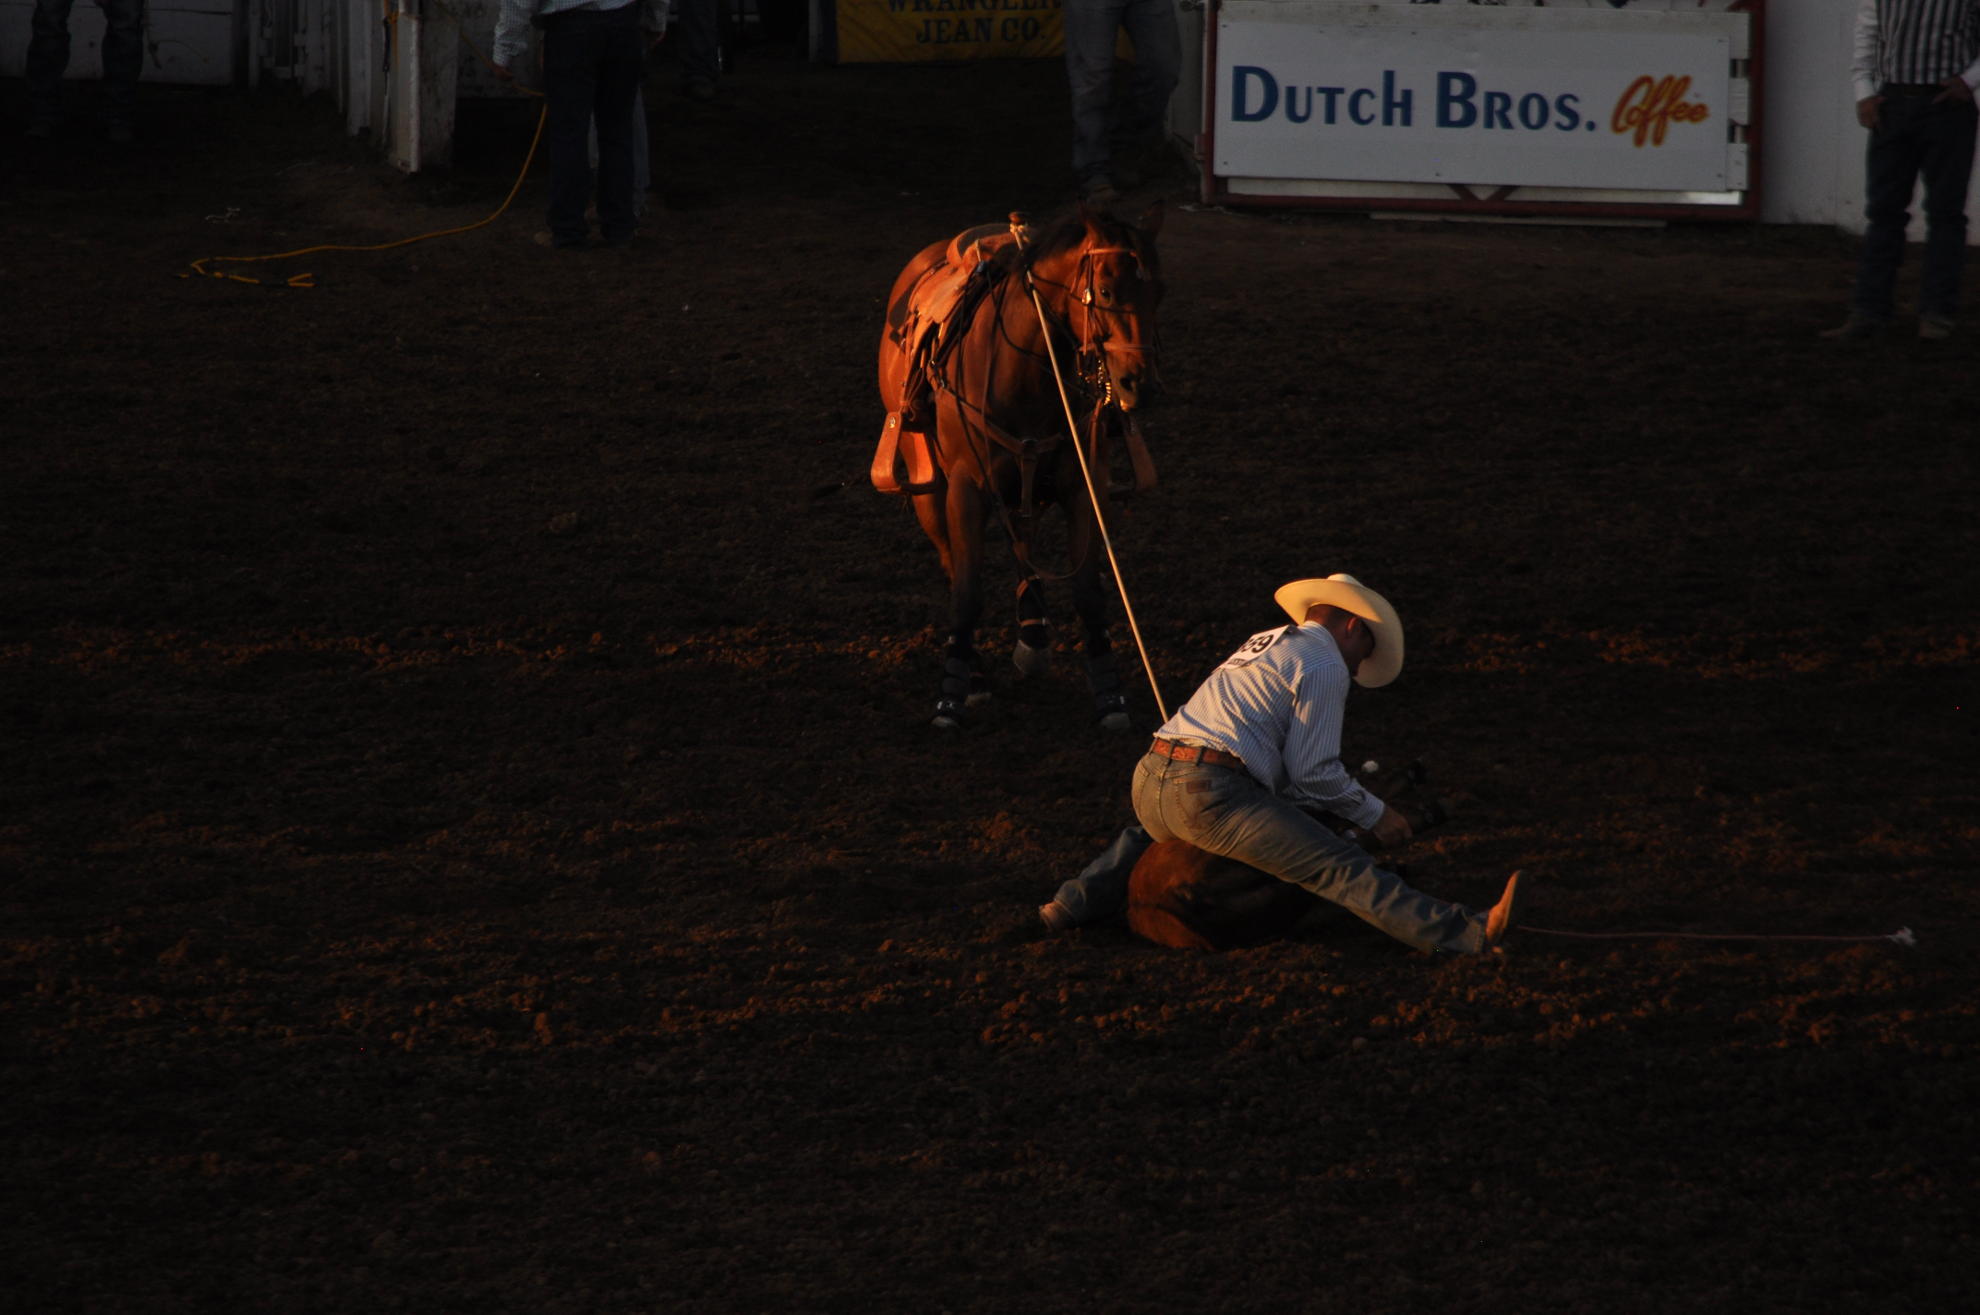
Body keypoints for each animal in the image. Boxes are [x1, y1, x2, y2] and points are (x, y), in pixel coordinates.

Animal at [867, 210, 1156, 732]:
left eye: (1158, 291)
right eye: (1104, 291)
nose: (1140, 385)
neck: (1022, 368)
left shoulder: (1082, 487)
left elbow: (1089, 591)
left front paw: (1110, 693)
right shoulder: (965, 489)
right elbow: (966, 590)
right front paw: (951, 696)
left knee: (1023, 538)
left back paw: (1033, 634)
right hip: (929, 488)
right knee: (954, 561)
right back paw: (980, 671)